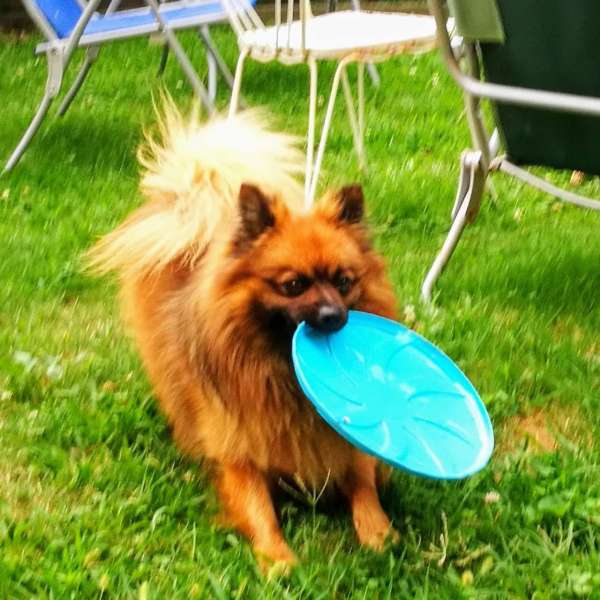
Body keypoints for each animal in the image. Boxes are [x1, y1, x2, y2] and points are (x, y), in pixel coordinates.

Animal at [87, 105, 399, 572]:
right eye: (293, 285)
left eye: (344, 282)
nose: (333, 317)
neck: (282, 371)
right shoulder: (239, 454)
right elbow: (259, 508)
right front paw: (278, 558)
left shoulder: (347, 446)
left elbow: (364, 483)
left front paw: (379, 532)